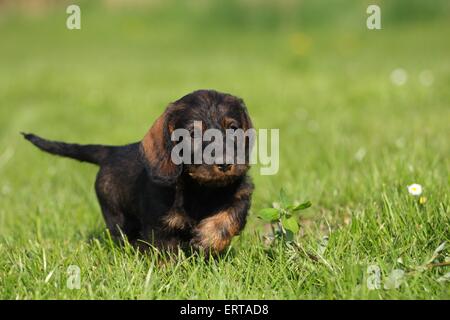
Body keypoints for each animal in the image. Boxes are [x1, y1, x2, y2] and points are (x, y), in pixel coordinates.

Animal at [22, 89, 253, 254]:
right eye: (192, 134)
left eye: (233, 128)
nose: (225, 164)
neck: (201, 189)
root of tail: (111, 151)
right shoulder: (160, 227)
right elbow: (165, 253)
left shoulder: (242, 194)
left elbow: (231, 215)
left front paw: (209, 238)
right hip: (118, 217)